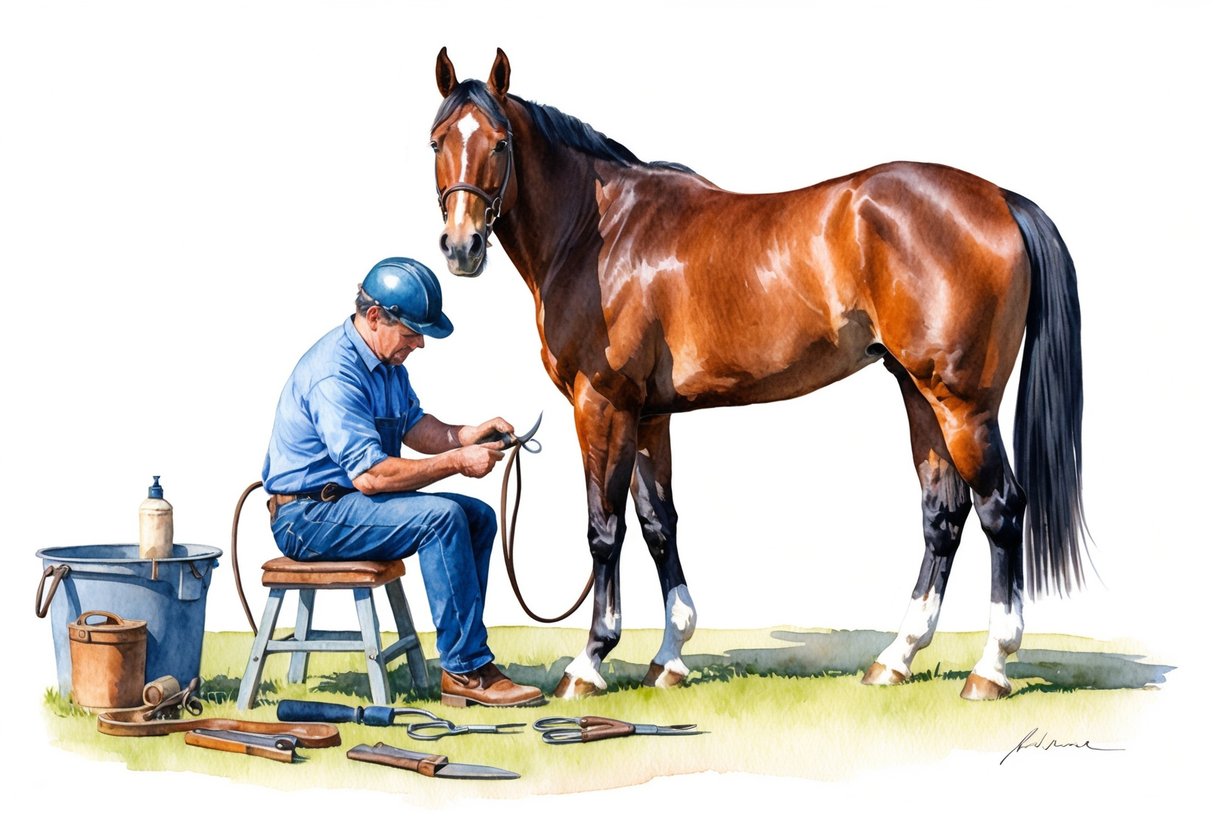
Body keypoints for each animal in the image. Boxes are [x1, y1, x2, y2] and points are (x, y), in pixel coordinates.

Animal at [429, 48, 1091, 703]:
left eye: (500, 142)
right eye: (437, 141)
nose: (461, 247)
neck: (601, 235)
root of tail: (1000, 198)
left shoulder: (602, 405)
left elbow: (604, 529)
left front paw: (589, 661)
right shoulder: (649, 415)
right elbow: (658, 524)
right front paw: (669, 658)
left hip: (963, 404)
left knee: (1000, 509)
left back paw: (991, 668)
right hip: (919, 393)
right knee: (942, 516)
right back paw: (895, 658)